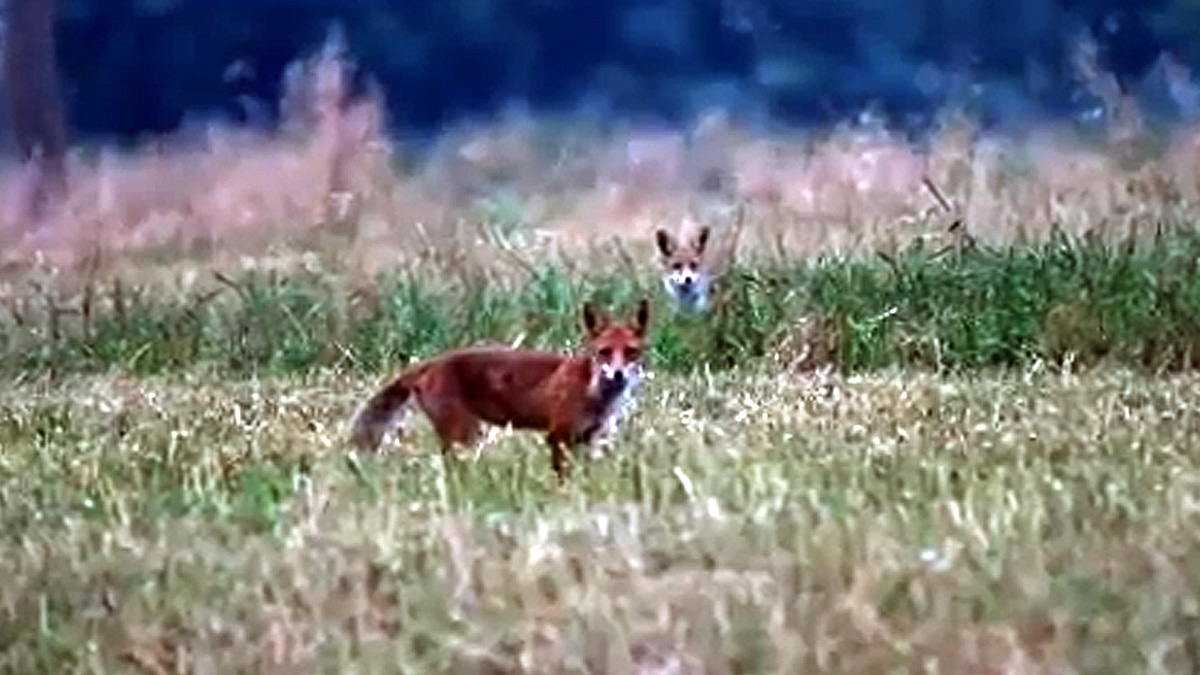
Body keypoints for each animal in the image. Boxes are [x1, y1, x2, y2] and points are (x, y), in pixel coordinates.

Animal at [348, 299, 651, 485]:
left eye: (630, 352)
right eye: (604, 352)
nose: (618, 374)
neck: (595, 394)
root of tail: (433, 361)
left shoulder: (588, 439)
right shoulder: (557, 436)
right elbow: (561, 479)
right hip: (465, 434)